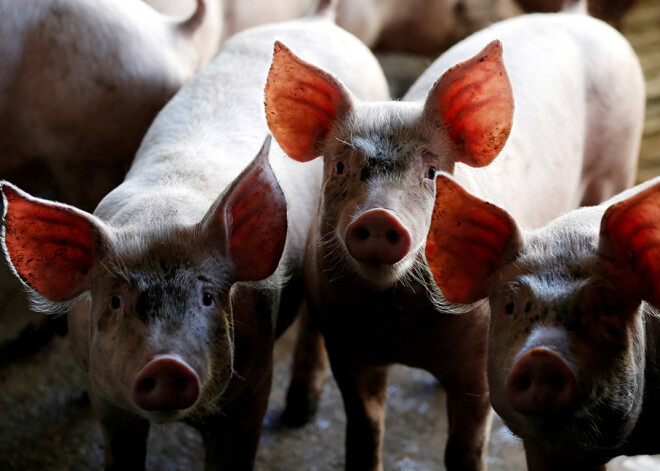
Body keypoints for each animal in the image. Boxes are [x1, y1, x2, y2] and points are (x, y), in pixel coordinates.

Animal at [0, 2, 390, 468]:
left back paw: (298, 414)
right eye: (115, 301)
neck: (162, 213)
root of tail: (320, 21)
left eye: (207, 297)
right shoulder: (109, 405)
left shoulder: (252, 387)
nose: (167, 364)